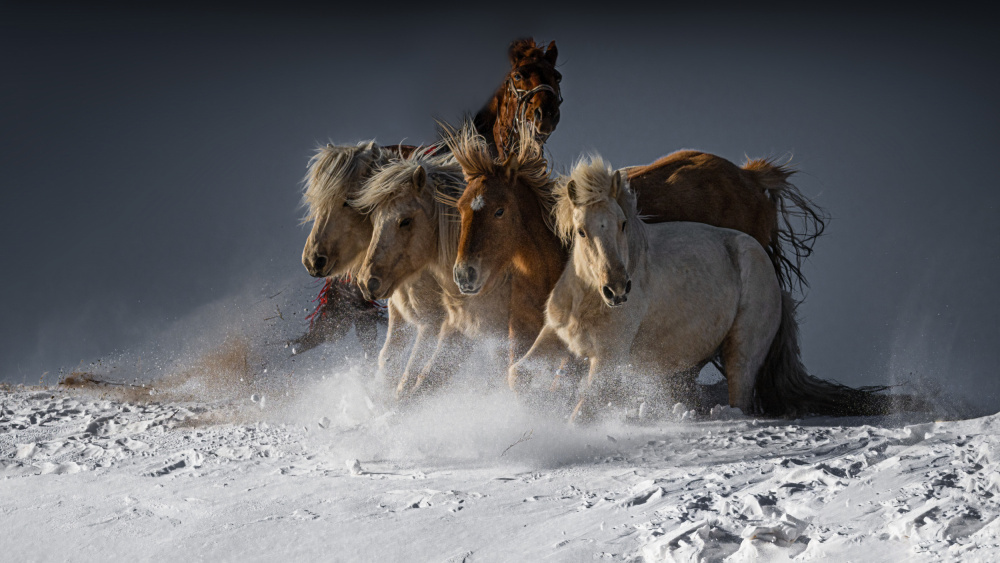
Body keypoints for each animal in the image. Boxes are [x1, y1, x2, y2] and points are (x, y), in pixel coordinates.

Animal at [509, 156, 899, 422]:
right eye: (581, 231)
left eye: (621, 224)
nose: (618, 290)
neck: (587, 299)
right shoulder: (557, 336)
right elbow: (518, 374)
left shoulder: (606, 359)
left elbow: (580, 413)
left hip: (741, 354)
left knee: (740, 401)